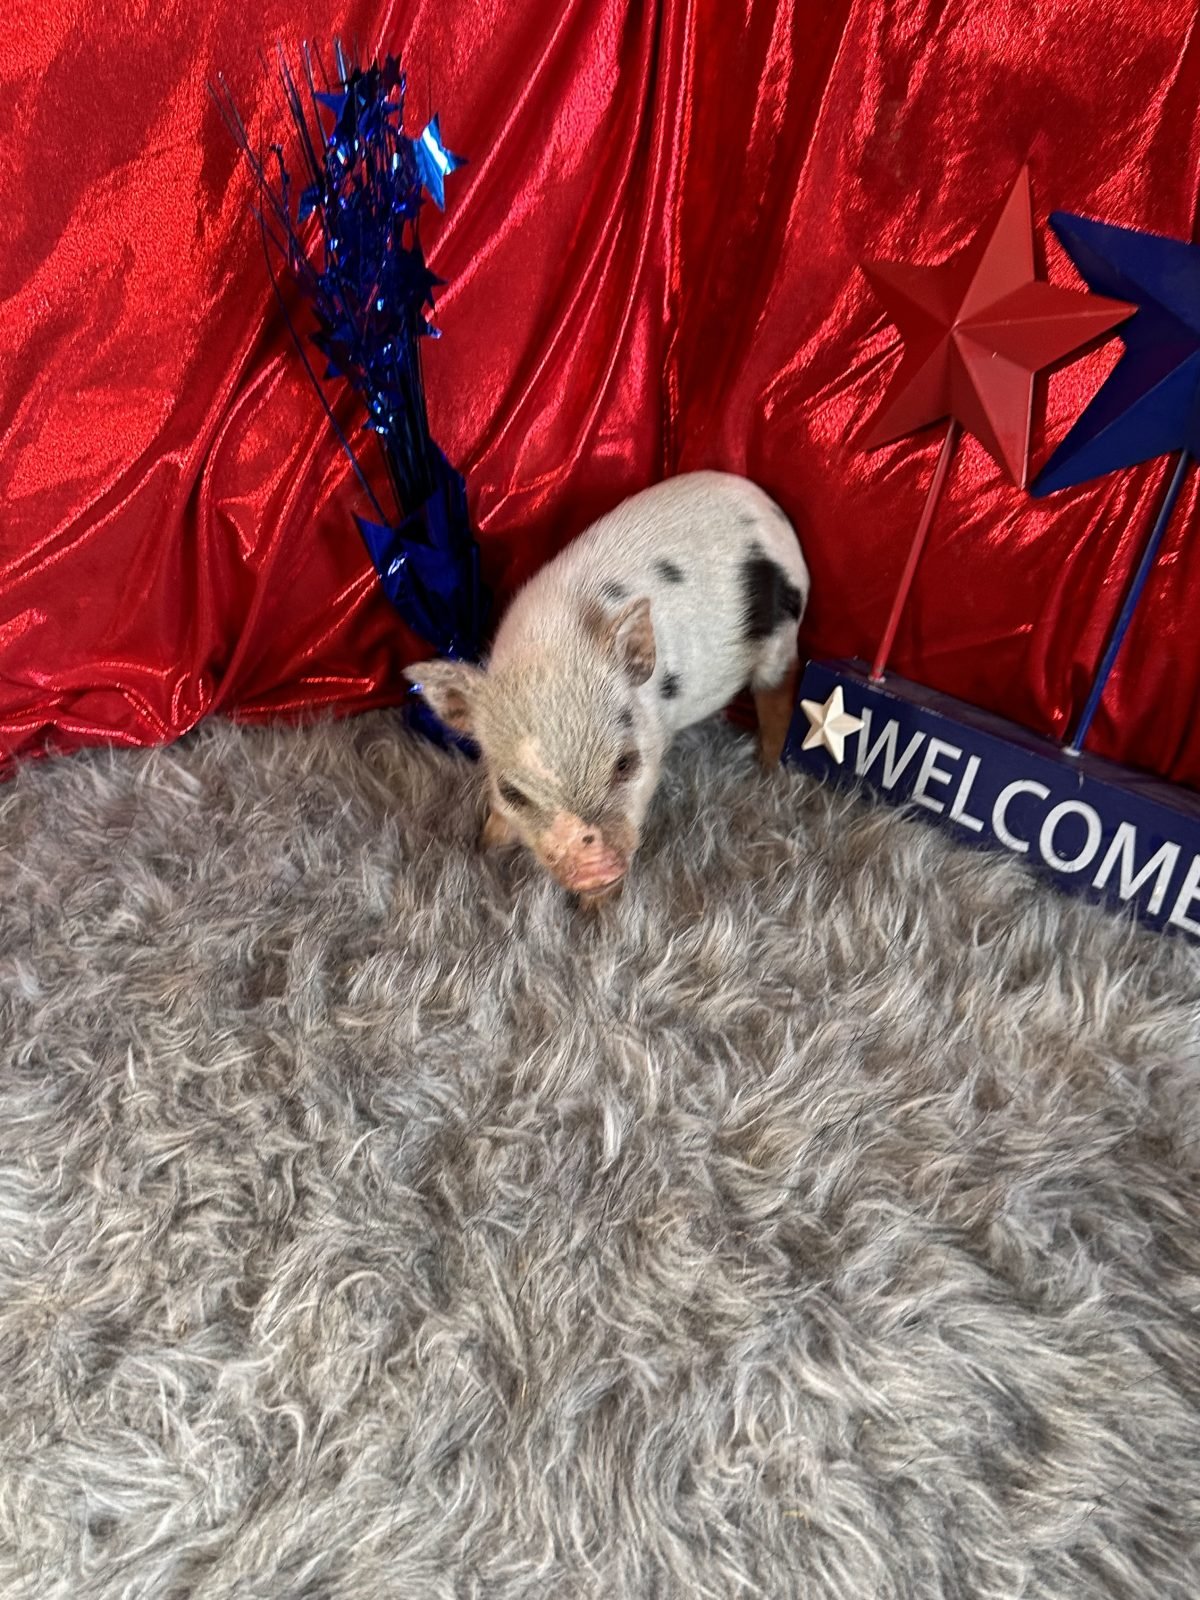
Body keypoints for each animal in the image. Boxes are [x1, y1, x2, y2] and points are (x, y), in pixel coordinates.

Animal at [404, 471, 809, 905]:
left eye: (625, 763)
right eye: (511, 791)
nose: (591, 869)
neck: (549, 646)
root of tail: (768, 506)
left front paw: (595, 910)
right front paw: (485, 845)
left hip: (782, 638)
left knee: (778, 692)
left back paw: (768, 768)